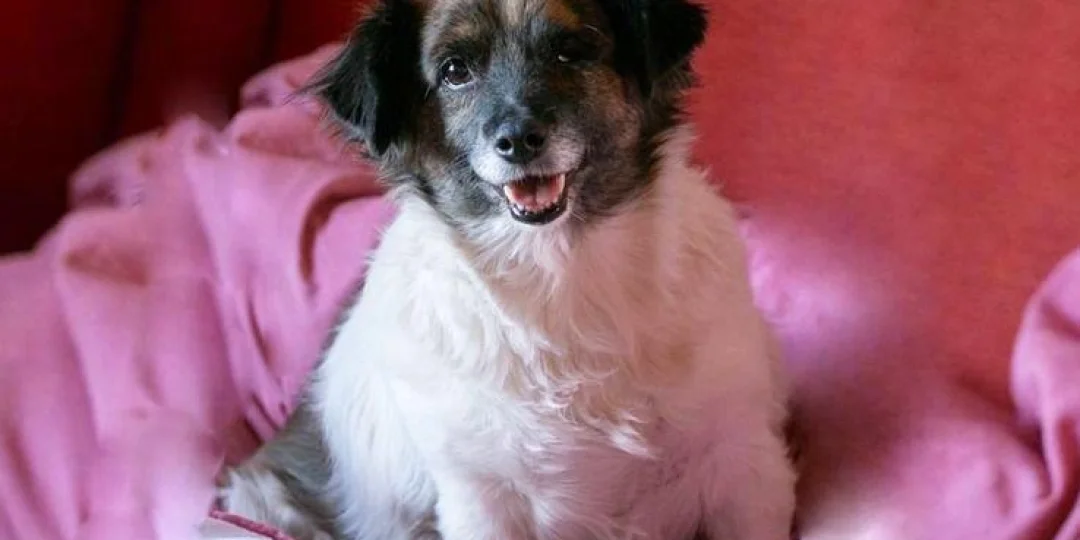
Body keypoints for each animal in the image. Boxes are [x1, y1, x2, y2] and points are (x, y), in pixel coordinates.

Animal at [217, 0, 797, 538]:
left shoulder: (745, 462)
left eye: (570, 50)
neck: (564, 276)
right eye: (454, 70)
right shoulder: (483, 498)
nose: (517, 141)